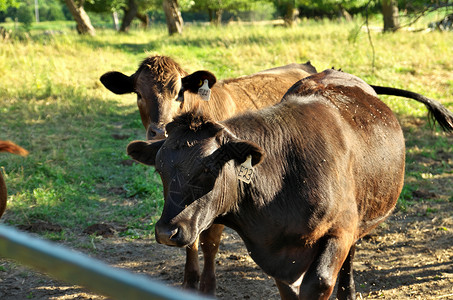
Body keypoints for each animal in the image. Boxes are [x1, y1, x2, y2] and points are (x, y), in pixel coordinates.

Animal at [100, 54, 316, 292]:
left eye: (178, 93)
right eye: (139, 94)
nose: (158, 131)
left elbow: (209, 242)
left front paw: (207, 285)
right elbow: (190, 238)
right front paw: (190, 280)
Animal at [127, 69, 452, 298]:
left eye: (209, 169)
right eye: (160, 169)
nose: (167, 232)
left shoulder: (339, 232)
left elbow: (319, 282)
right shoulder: (278, 258)